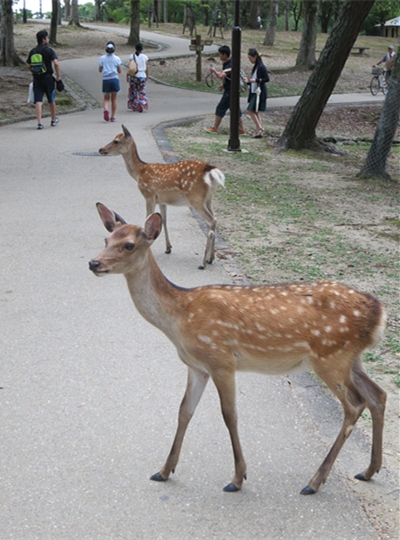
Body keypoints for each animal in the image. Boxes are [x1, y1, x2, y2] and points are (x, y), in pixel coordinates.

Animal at [88, 205, 388, 496]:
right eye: (106, 239)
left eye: (128, 245)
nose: (94, 263)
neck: (179, 318)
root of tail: (378, 312)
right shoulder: (197, 366)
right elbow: (184, 411)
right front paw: (163, 471)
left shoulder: (221, 359)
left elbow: (229, 415)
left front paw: (237, 478)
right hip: (350, 358)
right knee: (378, 395)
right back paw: (368, 470)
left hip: (329, 357)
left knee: (355, 404)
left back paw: (314, 481)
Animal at [98, 125, 225, 270]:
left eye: (116, 141)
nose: (101, 149)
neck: (139, 173)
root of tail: (211, 171)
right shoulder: (162, 200)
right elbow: (163, 220)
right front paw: (168, 248)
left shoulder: (149, 195)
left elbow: (147, 218)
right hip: (209, 198)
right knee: (214, 220)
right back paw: (210, 258)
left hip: (195, 197)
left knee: (210, 221)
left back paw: (203, 263)